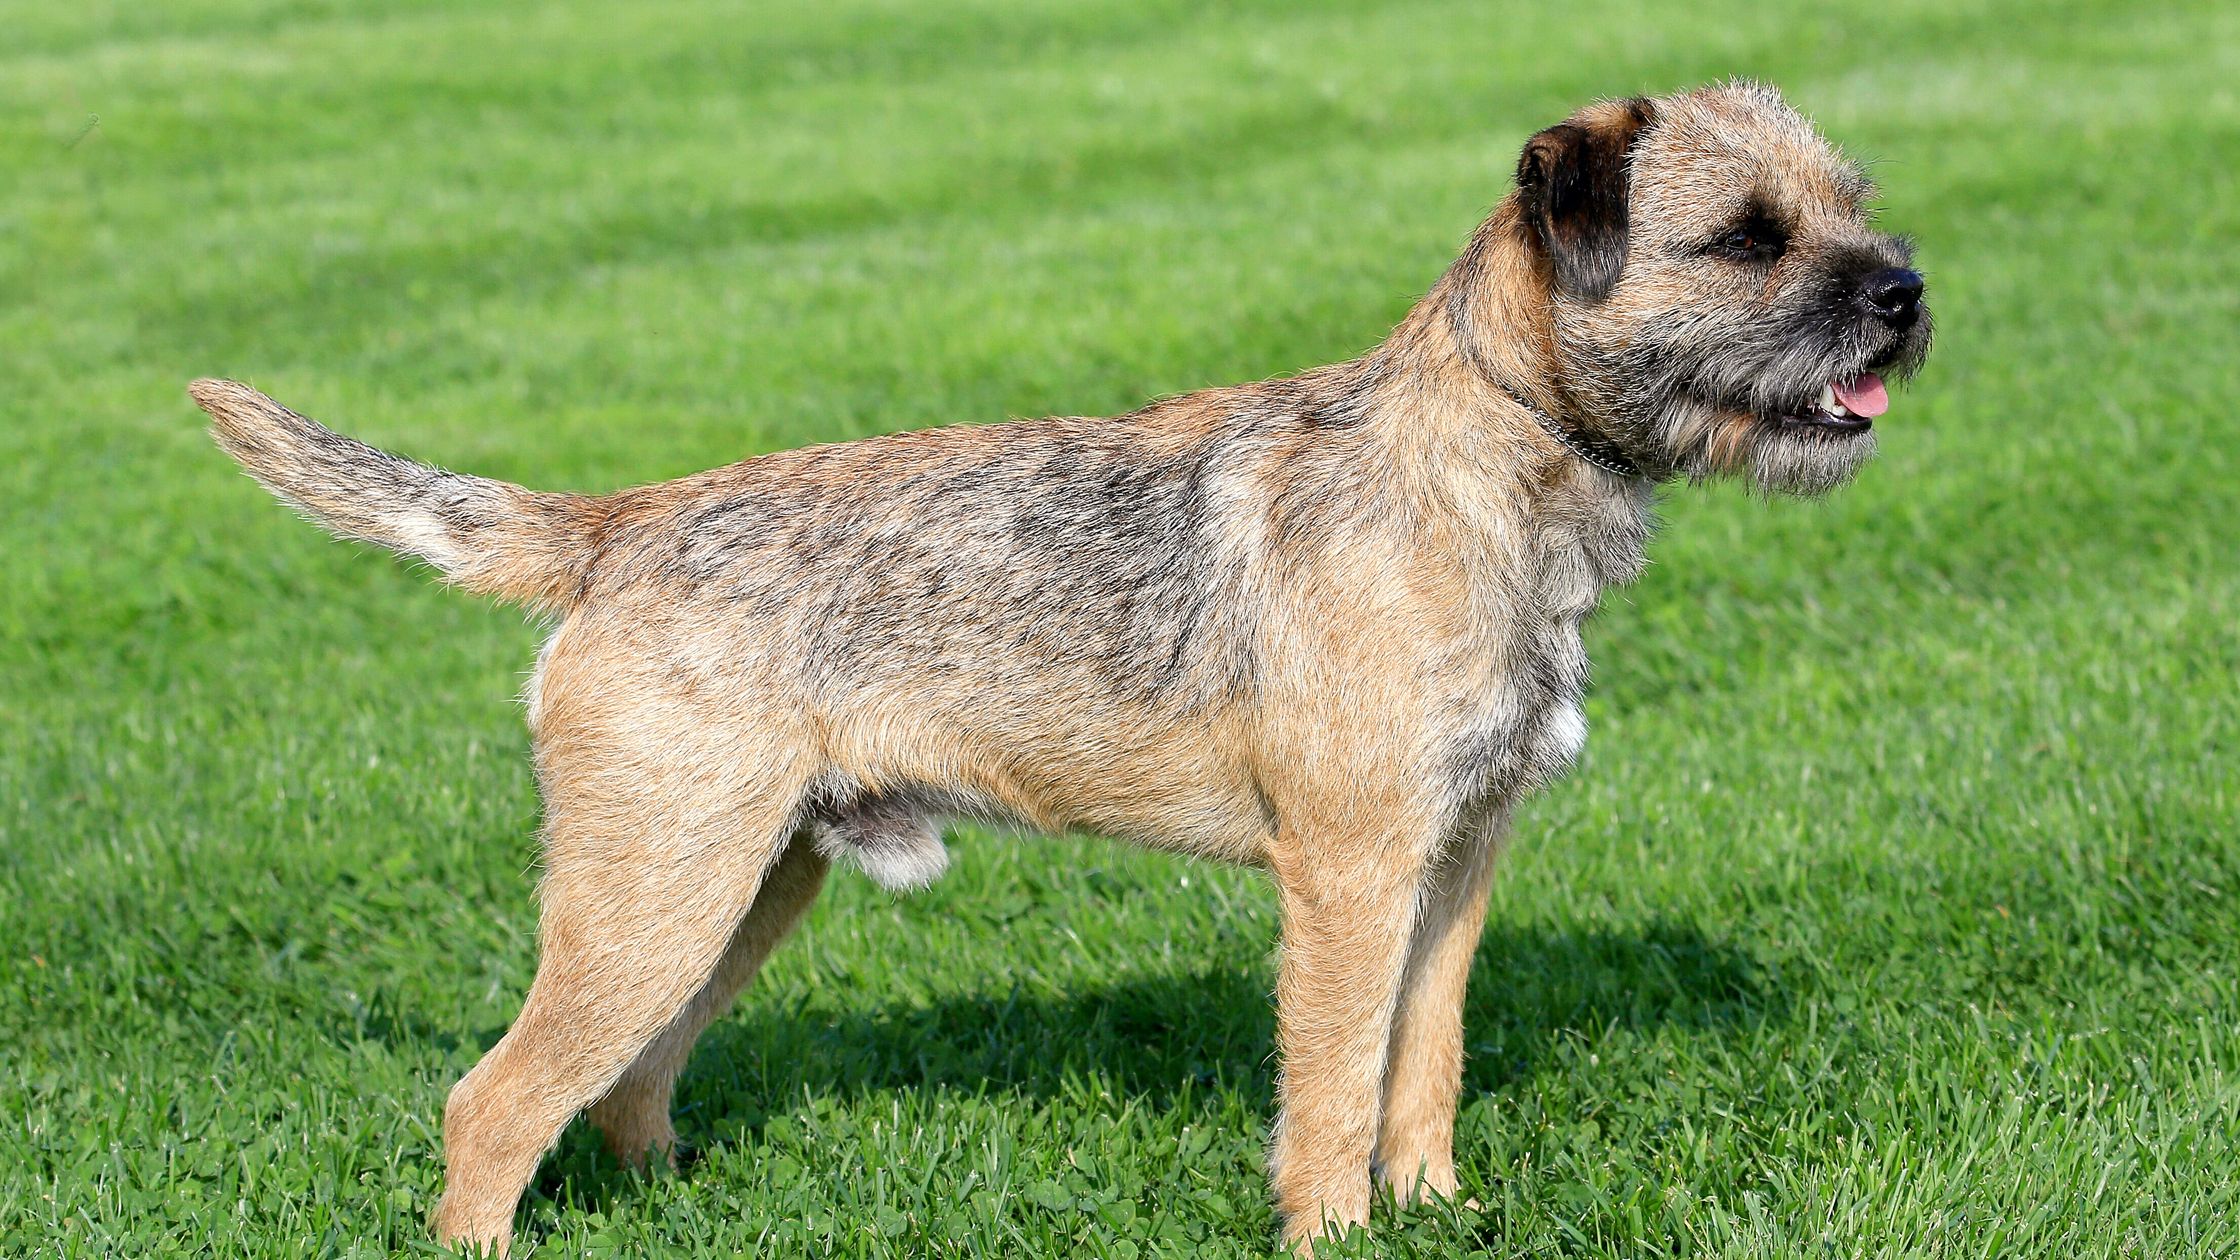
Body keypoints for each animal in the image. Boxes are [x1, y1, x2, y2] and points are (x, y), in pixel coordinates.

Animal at [188, 83, 1926, 1246]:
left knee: (624, 1084)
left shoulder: (1458, 860)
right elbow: (1332, 1088)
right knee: (492, 1104)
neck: (1485, 461)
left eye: (1853, 203)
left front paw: (1433, 1207)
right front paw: (1338, 1231)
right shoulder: (1353, 876)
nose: (1906, 292)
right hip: (658, 886)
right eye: (1748, 239)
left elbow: (1418, 1066)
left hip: (739, 886)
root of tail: (614, 525)